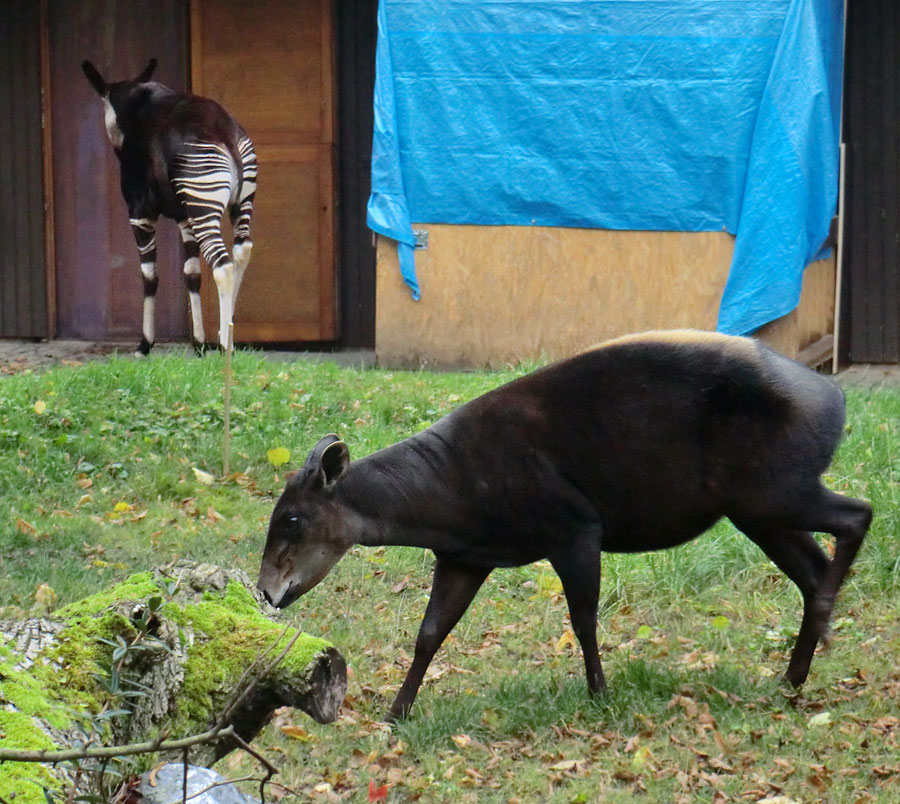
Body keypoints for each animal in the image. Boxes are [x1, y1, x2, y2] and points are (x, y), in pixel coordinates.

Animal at [82, 59, 256, 354]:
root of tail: (226, 133)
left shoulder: (140, 211)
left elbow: (149, 274)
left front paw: (145, 344)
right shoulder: (184, 217)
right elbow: (192, 273)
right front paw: (199, 343)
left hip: (203, 201)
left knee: (223, 265)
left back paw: (224, 345)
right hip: (238, 202)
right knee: (241, 252)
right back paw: (226, 333)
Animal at [258, 330, 872, 720]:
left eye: (291, 518)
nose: (266, 591)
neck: (449, 488)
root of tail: (836, 396)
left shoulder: (575, 529)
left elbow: (583, 620)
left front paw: (600, 696)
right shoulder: (465, 558)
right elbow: (430, 632)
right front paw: (396, 713)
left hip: (776, 489)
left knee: (856, 516)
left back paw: (820, 632)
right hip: (756, 508)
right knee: (813, 566)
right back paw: (795, 673)